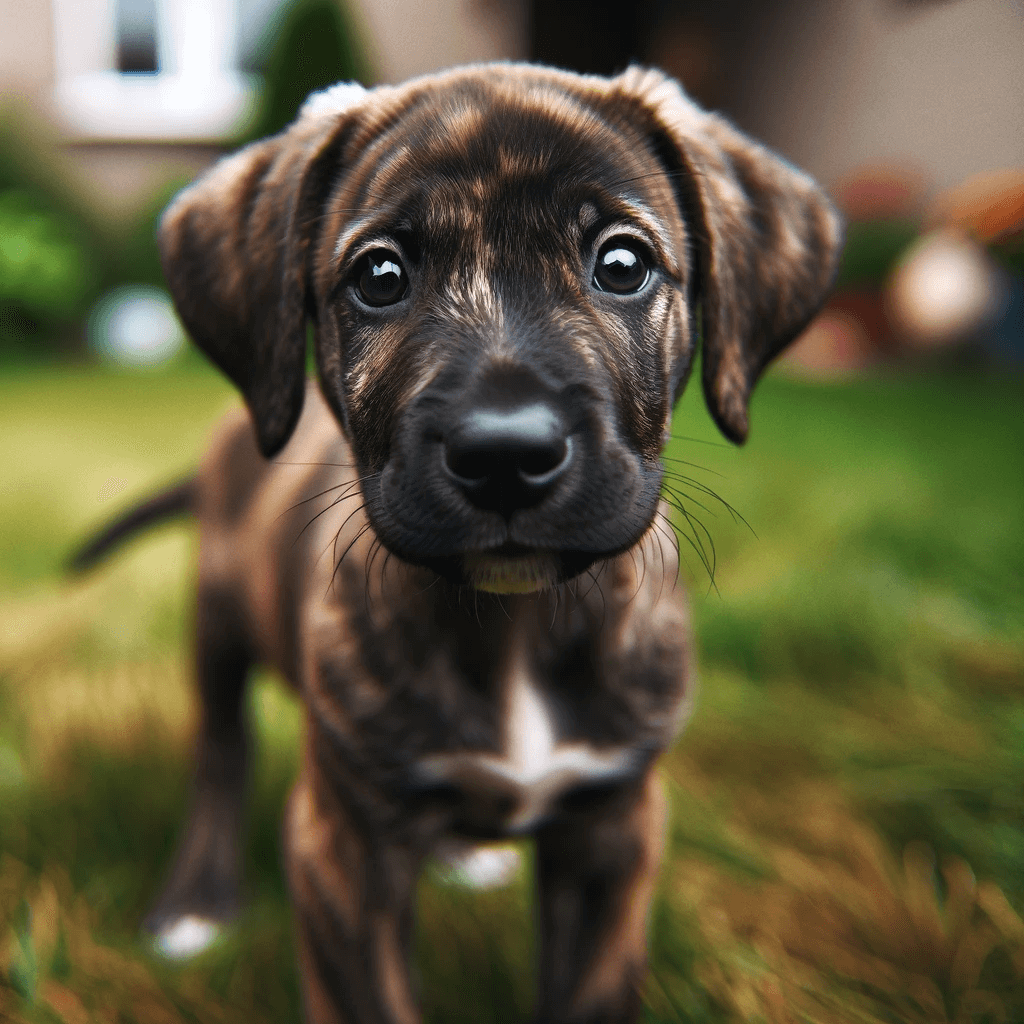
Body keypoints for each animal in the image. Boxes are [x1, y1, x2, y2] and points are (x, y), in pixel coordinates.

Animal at [75, 64, 843, 1024]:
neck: (515, 628)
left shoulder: (614, 832)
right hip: (218, 619)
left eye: (622, 263)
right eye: (380, 276)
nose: (506, 454)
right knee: (220, 751)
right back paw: (196, 902)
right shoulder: (343, 851)